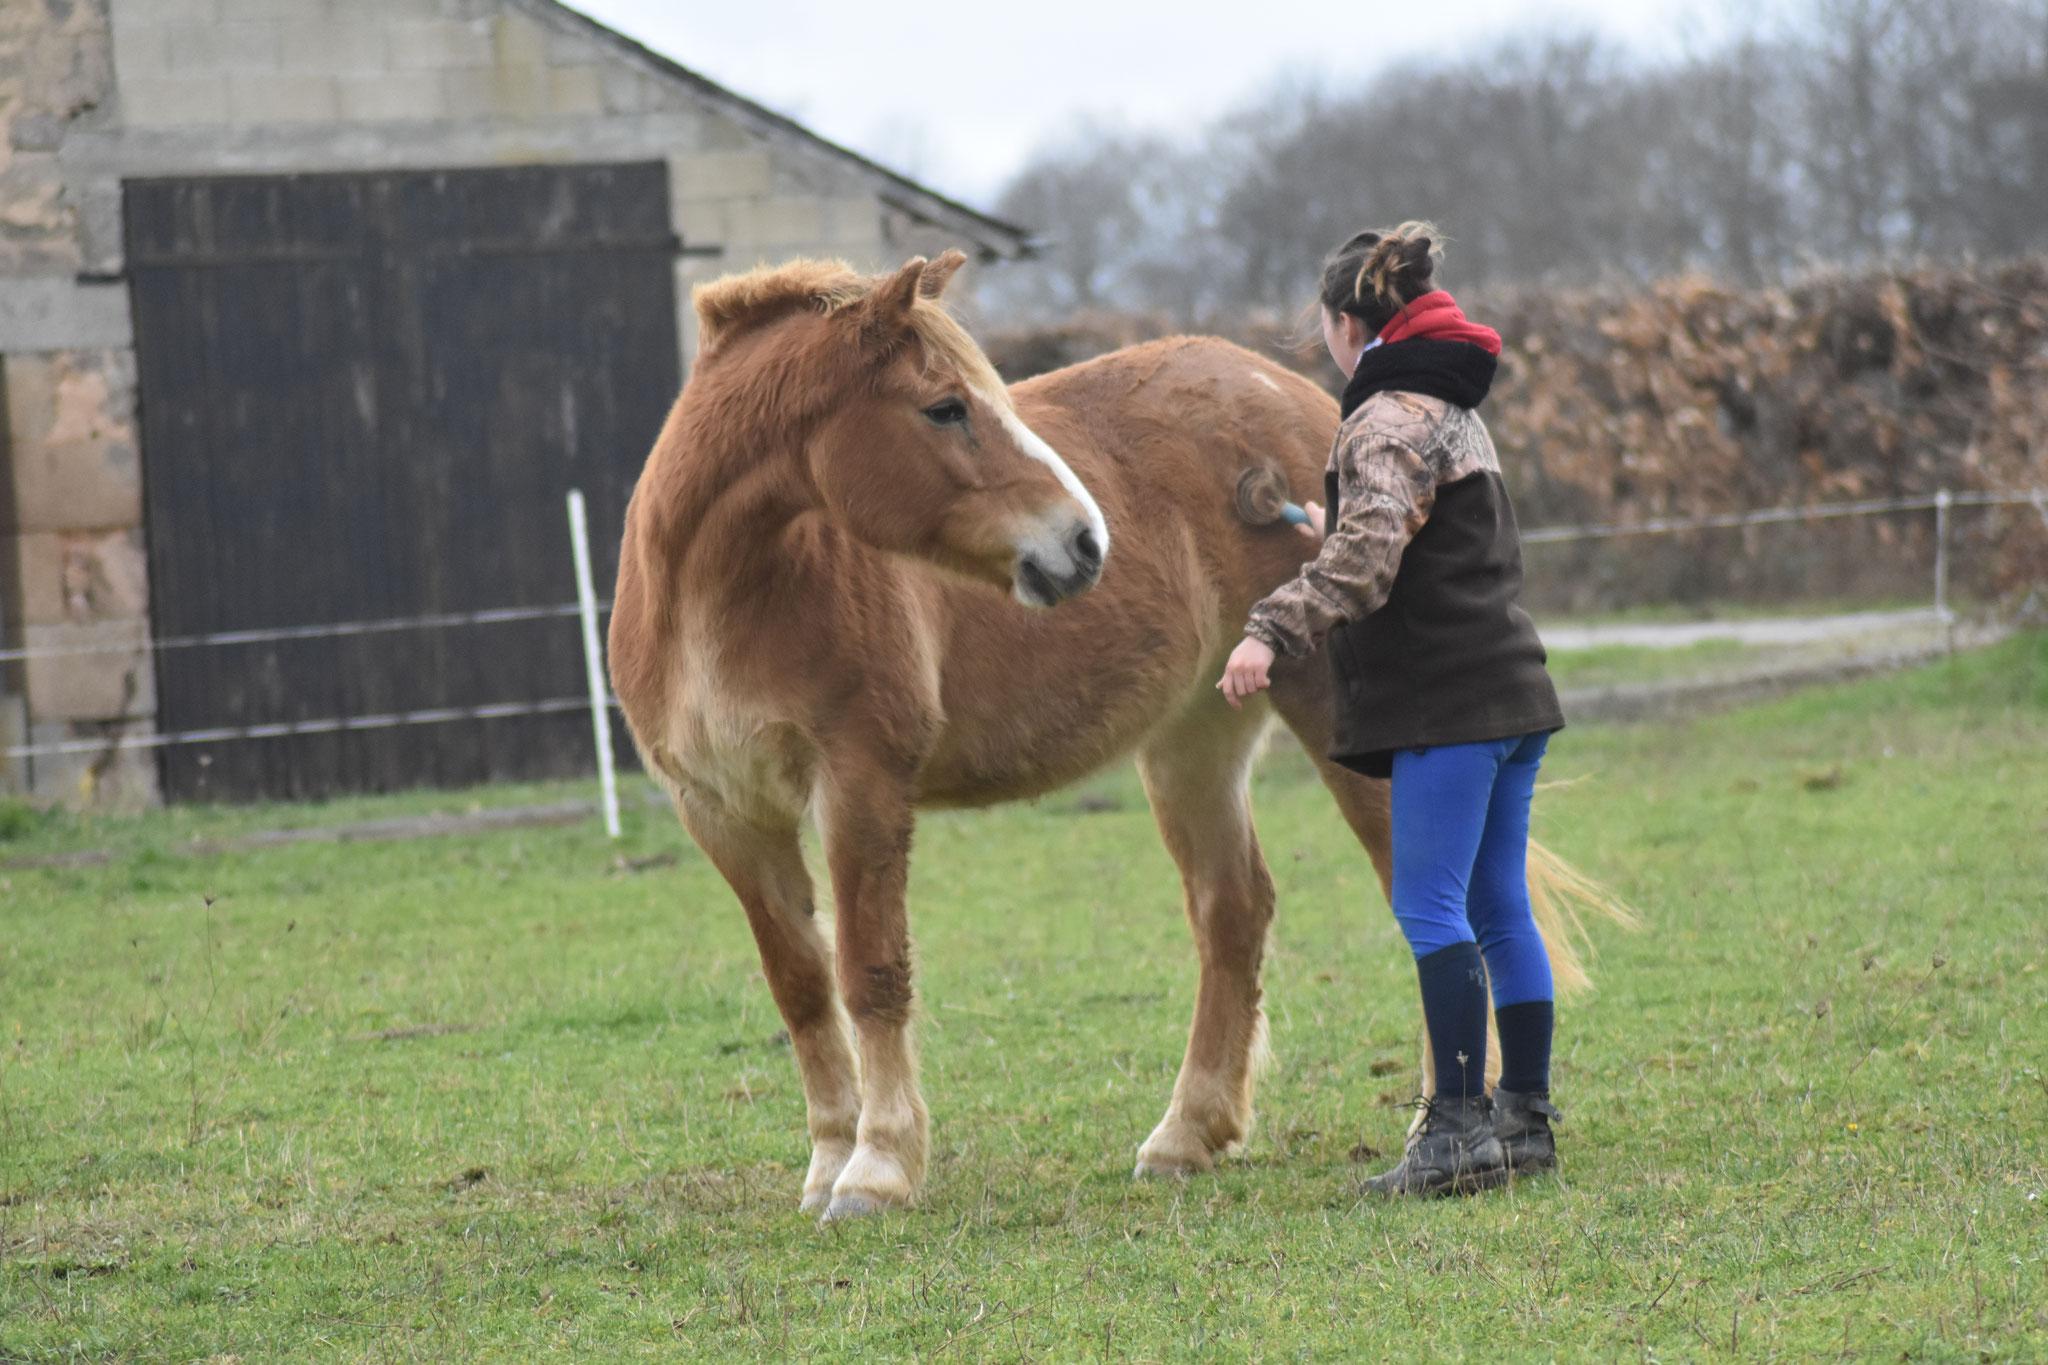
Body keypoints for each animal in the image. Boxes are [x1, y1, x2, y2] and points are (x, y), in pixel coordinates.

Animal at [602, 250, 1613, 1219]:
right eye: (945, 407)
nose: (1086, 543)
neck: (724, 595)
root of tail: (1292, 398)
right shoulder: (724, 816)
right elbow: (802, 988)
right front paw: (825, 1163)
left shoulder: (860, 788)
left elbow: (871, 972)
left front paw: (877, 1169)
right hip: (1192, 743)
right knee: (1233, 911)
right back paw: (1187, 1135)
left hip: (1349, 744)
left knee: (1428, 907)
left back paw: (1438, 1132)